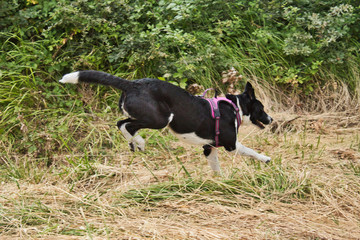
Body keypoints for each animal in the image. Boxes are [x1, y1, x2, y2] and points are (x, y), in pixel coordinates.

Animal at [59, 70, 272, 172]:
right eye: (261, 109)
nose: (271, 119)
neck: (235, 106)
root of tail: (132, 84)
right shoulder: (231, 145)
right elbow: (251, 152)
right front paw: (266, 159)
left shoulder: (209, 148)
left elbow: (216, 169)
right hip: (161, 119)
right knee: (126, 125)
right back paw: (140, 142)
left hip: (144, 115)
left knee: (121, 123)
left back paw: (134, 143)